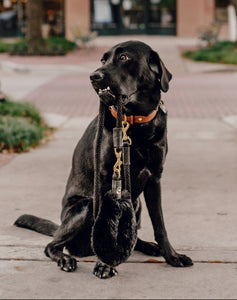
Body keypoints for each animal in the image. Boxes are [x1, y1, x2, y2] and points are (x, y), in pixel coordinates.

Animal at [14, 40, 193, 278]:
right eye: (103, 59)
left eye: (124, 57)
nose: (93, 76)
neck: (135, 121)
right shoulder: (105, 178)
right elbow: (105, 224)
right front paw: (105, 264)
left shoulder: (155, 178)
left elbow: (160, 225)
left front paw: (172, 256)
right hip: (84, 206)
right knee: (53, 244)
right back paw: (65, 258)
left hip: (134, 203)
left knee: (132, 235)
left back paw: (145, 246)